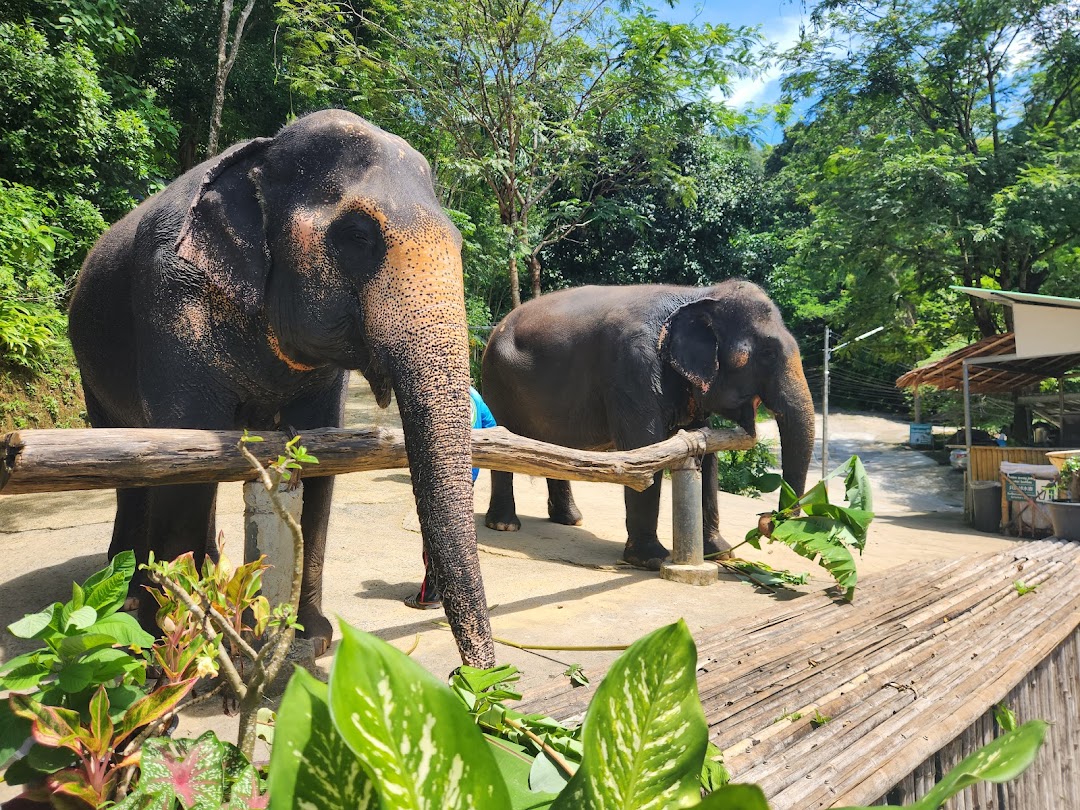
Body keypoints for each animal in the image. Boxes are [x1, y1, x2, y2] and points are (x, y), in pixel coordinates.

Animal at [68, 110, 495, 667]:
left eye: (459, 243)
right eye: (357, 235)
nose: (474, 679)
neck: (264, 155)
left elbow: (318, 461)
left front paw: (310, 635)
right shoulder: (170, 299)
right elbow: (187, 458)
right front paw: (181, 651)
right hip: (89, 367)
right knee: (136, 468)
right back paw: (135, 601)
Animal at [481, 280, 815, 569]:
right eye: (768, 354)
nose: (767, 522)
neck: (696, 295)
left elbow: (705, 451)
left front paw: (721, 553)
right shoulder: (632, 365)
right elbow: (644, 444)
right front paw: (651, 560)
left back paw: (571, 520)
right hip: (496, 381)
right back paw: (504, 525)